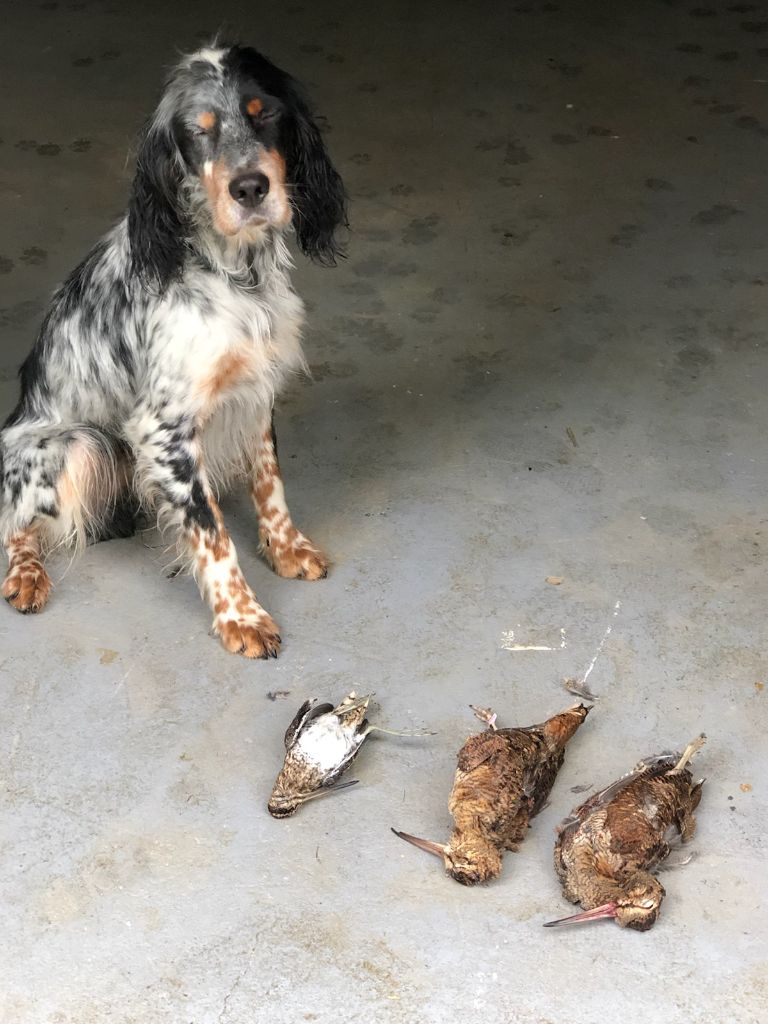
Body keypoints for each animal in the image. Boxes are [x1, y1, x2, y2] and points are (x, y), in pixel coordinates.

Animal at [0, 41, 348, 655]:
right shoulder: (162, 427)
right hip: (72, 445)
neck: (236, 272)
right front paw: (241, 616)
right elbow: (210, 532)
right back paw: (26, 576)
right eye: (198, 132)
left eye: (265, 113)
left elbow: (269, 482)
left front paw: (286, 549)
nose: (250, 188)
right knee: (13, 522)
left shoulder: (255, 389)